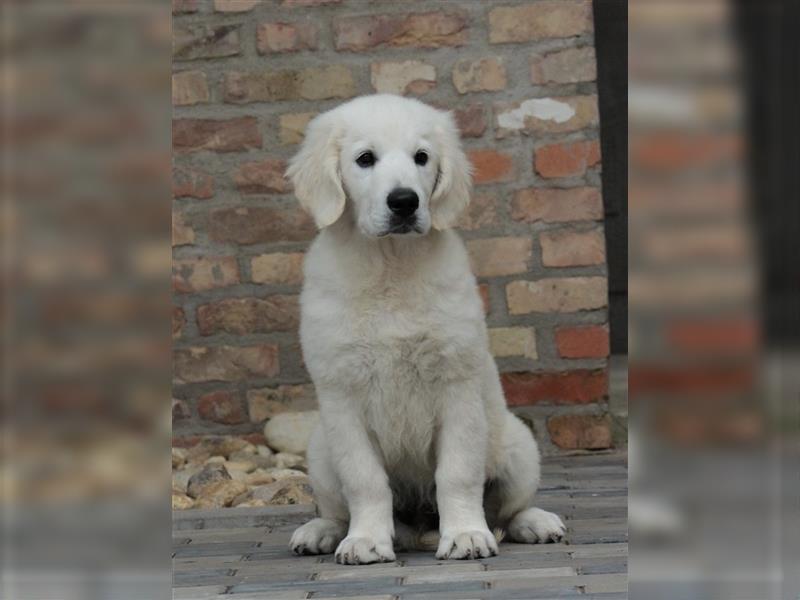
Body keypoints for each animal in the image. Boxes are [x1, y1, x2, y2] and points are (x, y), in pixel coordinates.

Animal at [284, 94, 564, 564]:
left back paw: (535, 523)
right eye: (364, 159)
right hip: (320, 451)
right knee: (336, 507)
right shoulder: (341, 393)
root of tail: (419, 527)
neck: (392, 265)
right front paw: (365, 540)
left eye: (421, 157)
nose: (404, 202)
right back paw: (322, 531)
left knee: (509, 509)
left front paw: (467, 534)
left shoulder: (457, 383)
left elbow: (458, 472)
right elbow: (364, 479)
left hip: (518, 446)